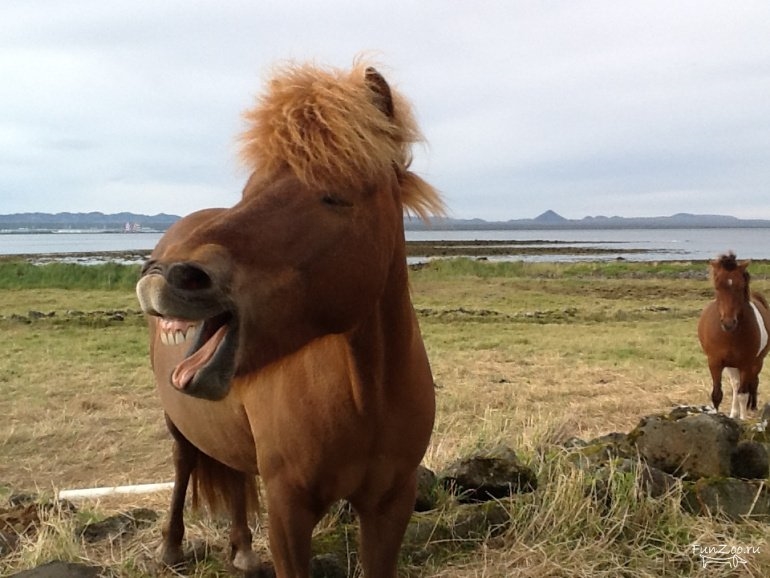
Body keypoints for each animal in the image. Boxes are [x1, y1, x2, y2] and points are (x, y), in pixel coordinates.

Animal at [135, 60, 440, 572]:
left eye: (334, 195)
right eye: (248, 191)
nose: (167, 275)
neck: (365, 395)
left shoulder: (391, 504)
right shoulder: (288, 512)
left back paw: (241, 550)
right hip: (179, 424)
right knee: (184, 463)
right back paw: (172, 547)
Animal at [696, 252, 768, 418]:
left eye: (740, 286)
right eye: (717, 287)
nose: (729, 323)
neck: (730, 336)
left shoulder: (747, 364)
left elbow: (743, 394)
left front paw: (743, 418)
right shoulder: (715, 362)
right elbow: (717, 395)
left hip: (756, 363)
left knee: (751, 383)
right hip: (731, 365)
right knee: (735, 385)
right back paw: (733, 413)